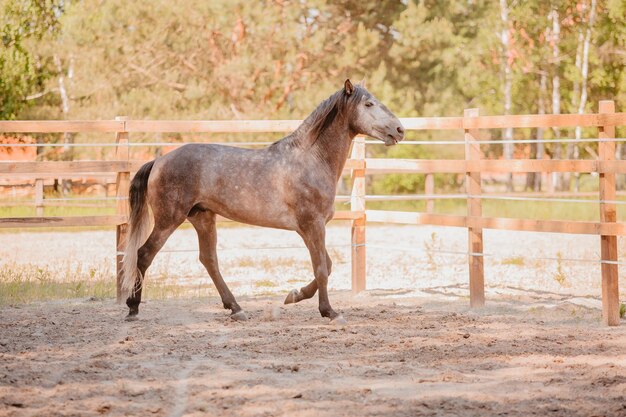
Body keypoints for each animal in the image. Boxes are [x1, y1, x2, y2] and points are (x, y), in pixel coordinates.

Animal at [120, 79, 404, 324]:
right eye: (368, 104)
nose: (400, 130)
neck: (310, 160)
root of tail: (158, 160)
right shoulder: (312, 225)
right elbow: (322, 268)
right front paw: (329, 312)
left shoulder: (310, 228)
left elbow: (327, 266)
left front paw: (294, 296)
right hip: (169, 219)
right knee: (144, 254)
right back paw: (133, 308)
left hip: (203, 217)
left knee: (209, 260)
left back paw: (236, 309)